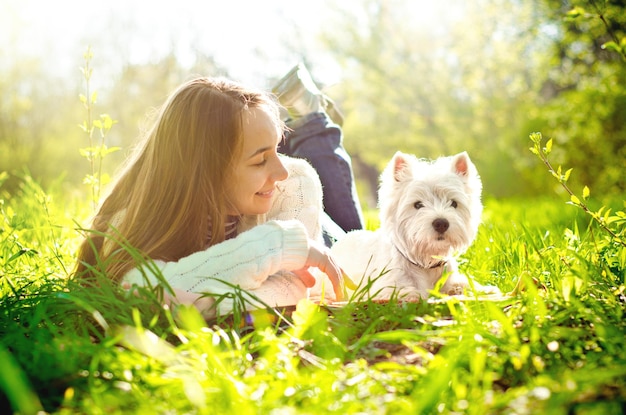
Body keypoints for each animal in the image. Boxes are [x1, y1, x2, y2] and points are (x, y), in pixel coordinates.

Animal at [326, 151, 498, 300]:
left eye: (454, 203)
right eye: (418, 204)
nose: (441, 223)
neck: (426, 263)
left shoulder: (449, 278)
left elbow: (461, 283)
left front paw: (485, 290)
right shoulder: (383, 285)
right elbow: (400, 291)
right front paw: (412, 295)